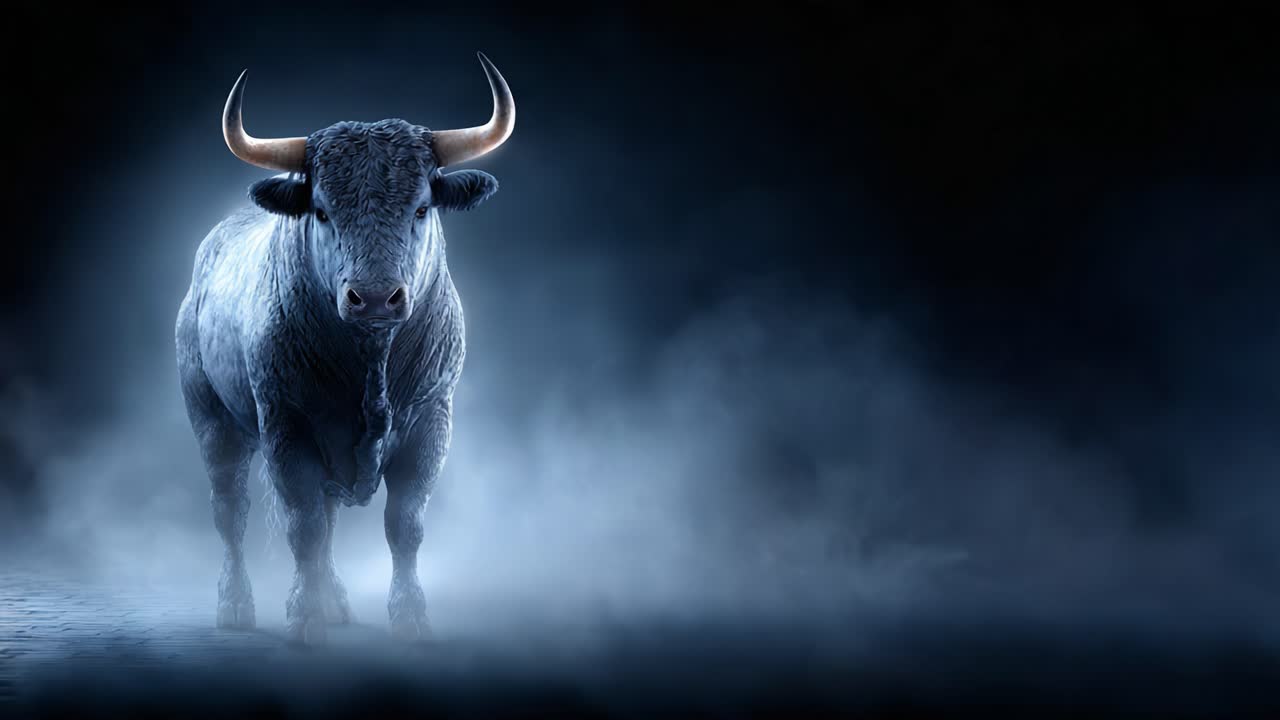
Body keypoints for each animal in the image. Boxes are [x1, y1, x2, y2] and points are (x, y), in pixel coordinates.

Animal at [175, 53, 514, 644]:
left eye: (421, 208)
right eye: (322, 210)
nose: (375, 297)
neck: (370, 362)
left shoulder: (431, 421)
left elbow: (404, 525)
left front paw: (409, 617)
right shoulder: (286, 425)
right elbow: (303, 525)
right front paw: (305, 618)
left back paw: (335, 601)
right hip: (214, 422)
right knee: (231, 511)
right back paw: (236, 606)